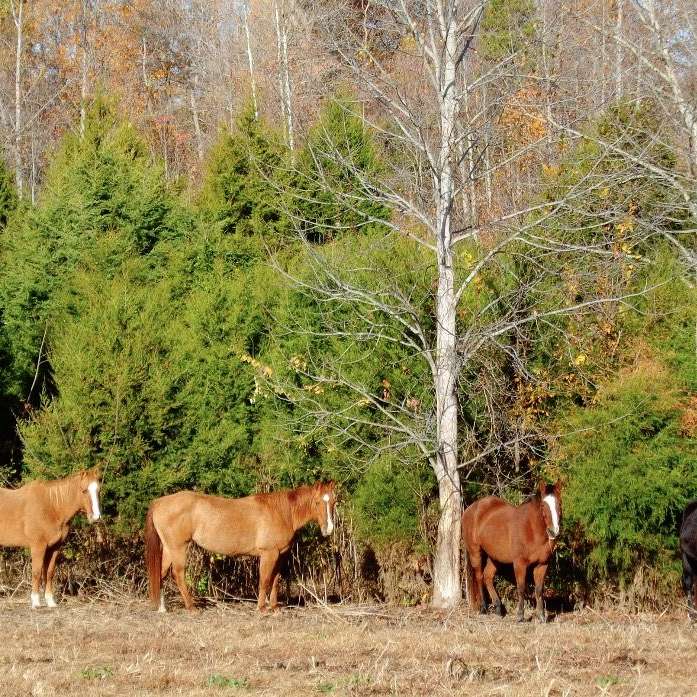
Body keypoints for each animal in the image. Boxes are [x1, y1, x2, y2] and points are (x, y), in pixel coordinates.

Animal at [0, 468, 102, 608]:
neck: (52, 507)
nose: (96, 517)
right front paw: (36, 602)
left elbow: (49, 573)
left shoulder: (54, 547)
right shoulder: (38, 546)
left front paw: (50, 601)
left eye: (98, 490)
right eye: (84, 490)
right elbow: (36, 572)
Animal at [144, 480, 337, 612]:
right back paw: (192, 608)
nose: (328, 529)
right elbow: (264, 580)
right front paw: (262, 609)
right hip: (178, 548)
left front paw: (274, 608)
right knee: (178, 574)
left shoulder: (279, 554)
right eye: (317, 502)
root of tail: (159, 502)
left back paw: (162, 608)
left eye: (334, 502)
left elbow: (275, 580)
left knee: (161, 573)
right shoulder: (269, 554)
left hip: (169, 548)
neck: (282, 512)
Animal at [462, 480, 562, 622]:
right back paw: (484, 608)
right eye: (543, 505)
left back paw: (498, 608)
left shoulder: (542, 564)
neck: (531, 529)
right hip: (475, 551)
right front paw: (520, 616)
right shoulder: (520, 563)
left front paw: (542, 616)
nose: (554, 531)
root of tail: (470, 509)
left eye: (559, 503)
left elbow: (539, 590)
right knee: (479, 577)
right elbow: (521, 588)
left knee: (488, 577)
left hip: (494, 557)